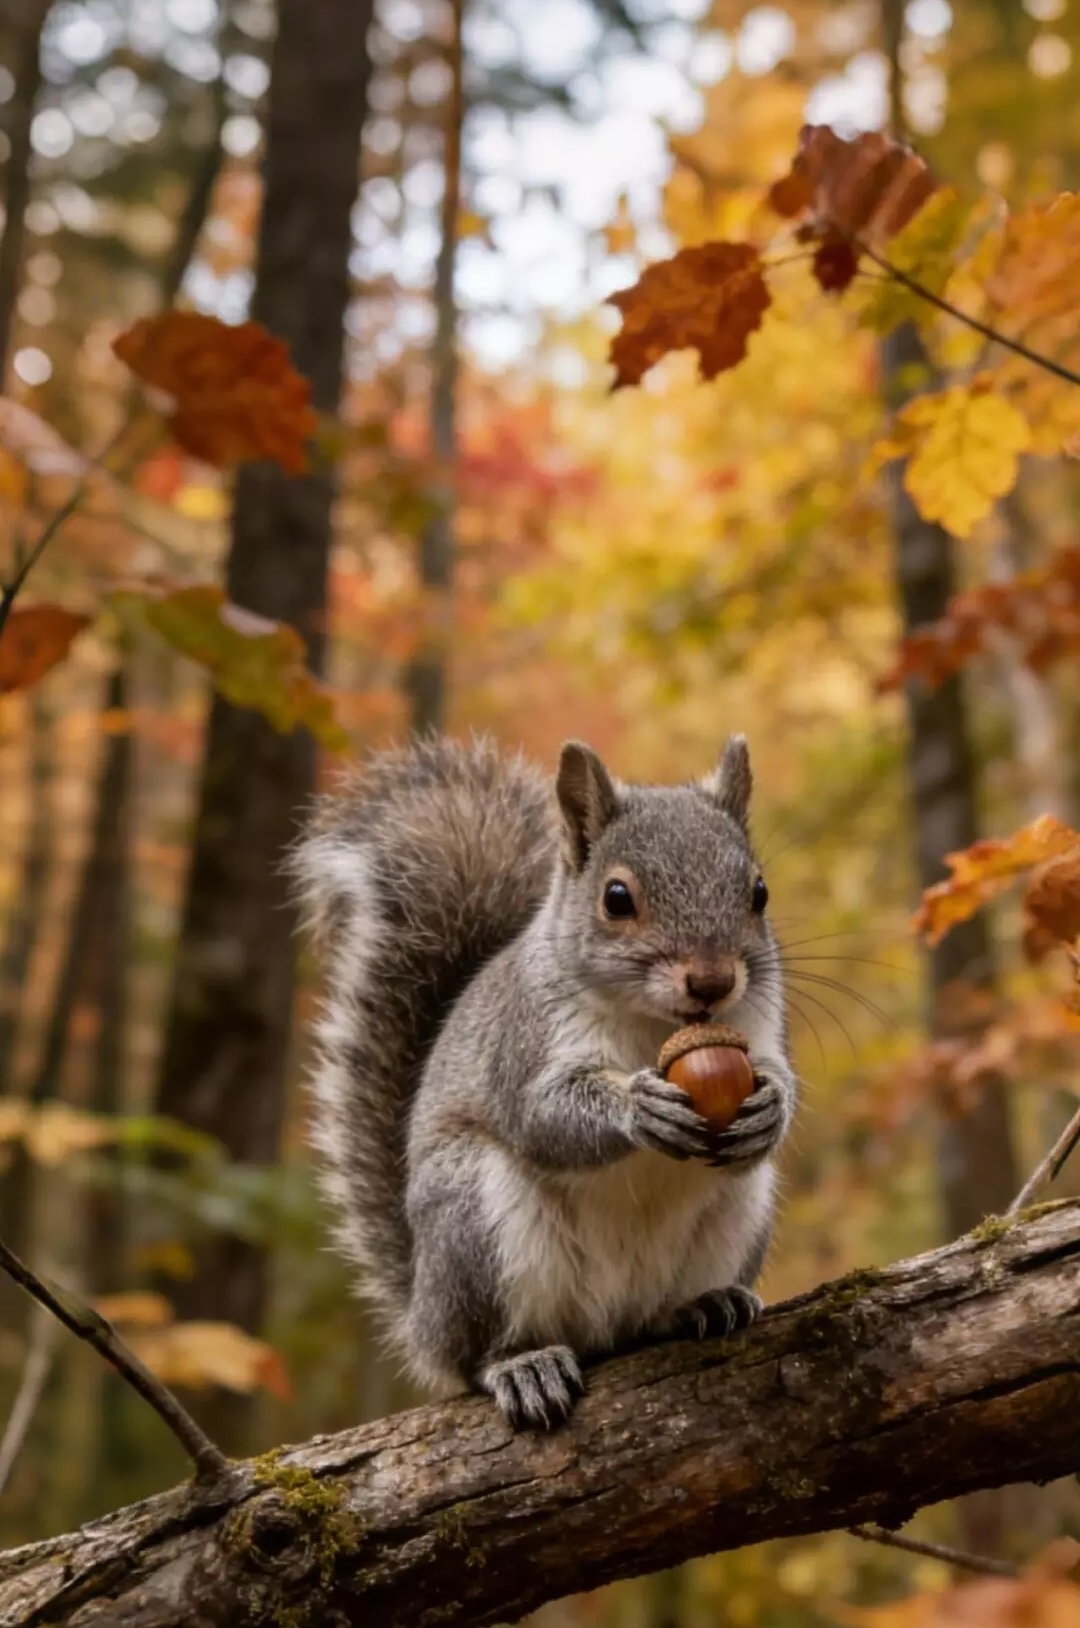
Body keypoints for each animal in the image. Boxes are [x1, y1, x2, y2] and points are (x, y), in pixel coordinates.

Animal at [289, 732, 796, 1430]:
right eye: (616, 898)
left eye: (760, 892)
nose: (713, 982)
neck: (653, 1026)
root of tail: (423, 1312)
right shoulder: (524, 1039)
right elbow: (542, 1117)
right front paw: (637, 1107)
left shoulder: (758, 1027)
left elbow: (780, 1082)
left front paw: (768, 1110)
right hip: (476, 1225)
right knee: (474, 1356)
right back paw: (520, 1364)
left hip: (740, 1212)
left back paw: (703, 1304)